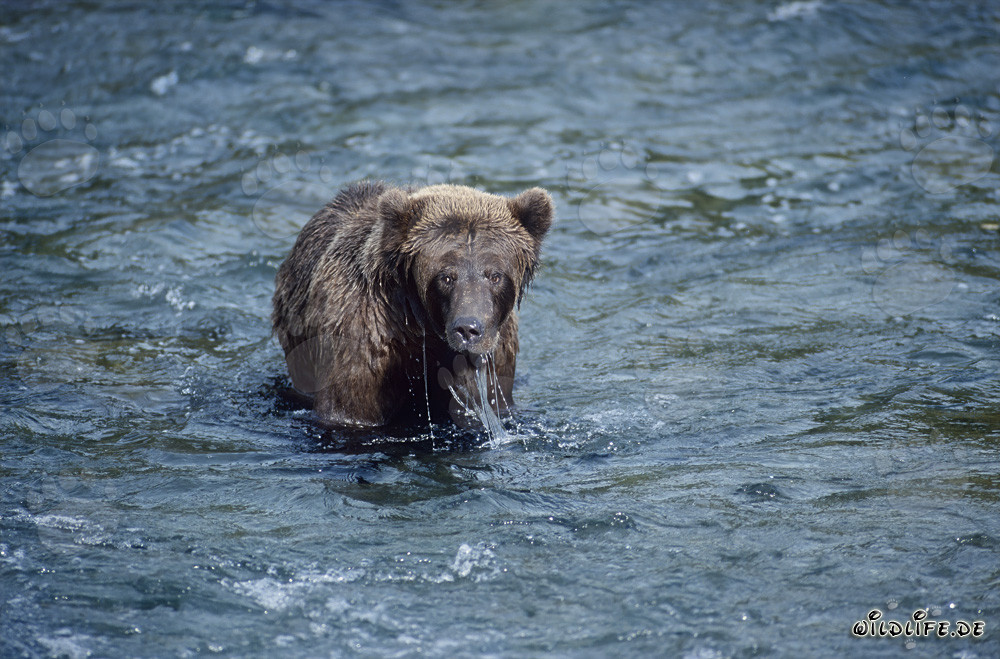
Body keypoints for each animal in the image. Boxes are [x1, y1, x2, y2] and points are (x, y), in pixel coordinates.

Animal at [271, 180, 553, 428]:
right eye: (446, 276)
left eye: (495, 275)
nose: (468, 329)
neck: (423, 326)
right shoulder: (362, 335)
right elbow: (350, 407)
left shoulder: (497, 352)